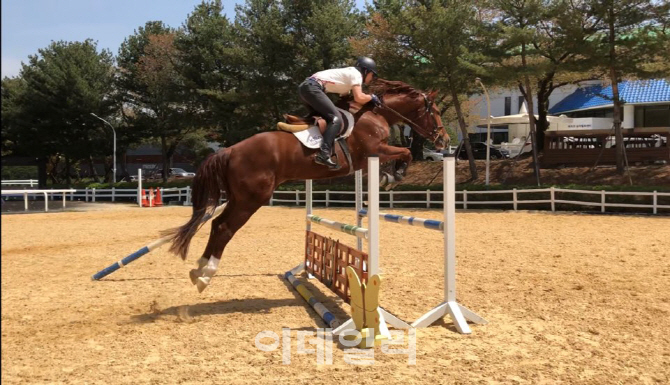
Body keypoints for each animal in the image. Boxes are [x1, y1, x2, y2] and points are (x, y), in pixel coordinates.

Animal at [168, 80, 452, 292]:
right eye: (436, 112)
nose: (444, 140)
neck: (375, 114)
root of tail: (229, 150)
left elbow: (404, 152)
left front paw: (390, 177)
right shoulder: (376, 150)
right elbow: (406, 152)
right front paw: (393, 178)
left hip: (239, 198)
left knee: (216, 224)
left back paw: (198, 268)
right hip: (252, 199)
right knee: (225, 228)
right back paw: (206, 274)